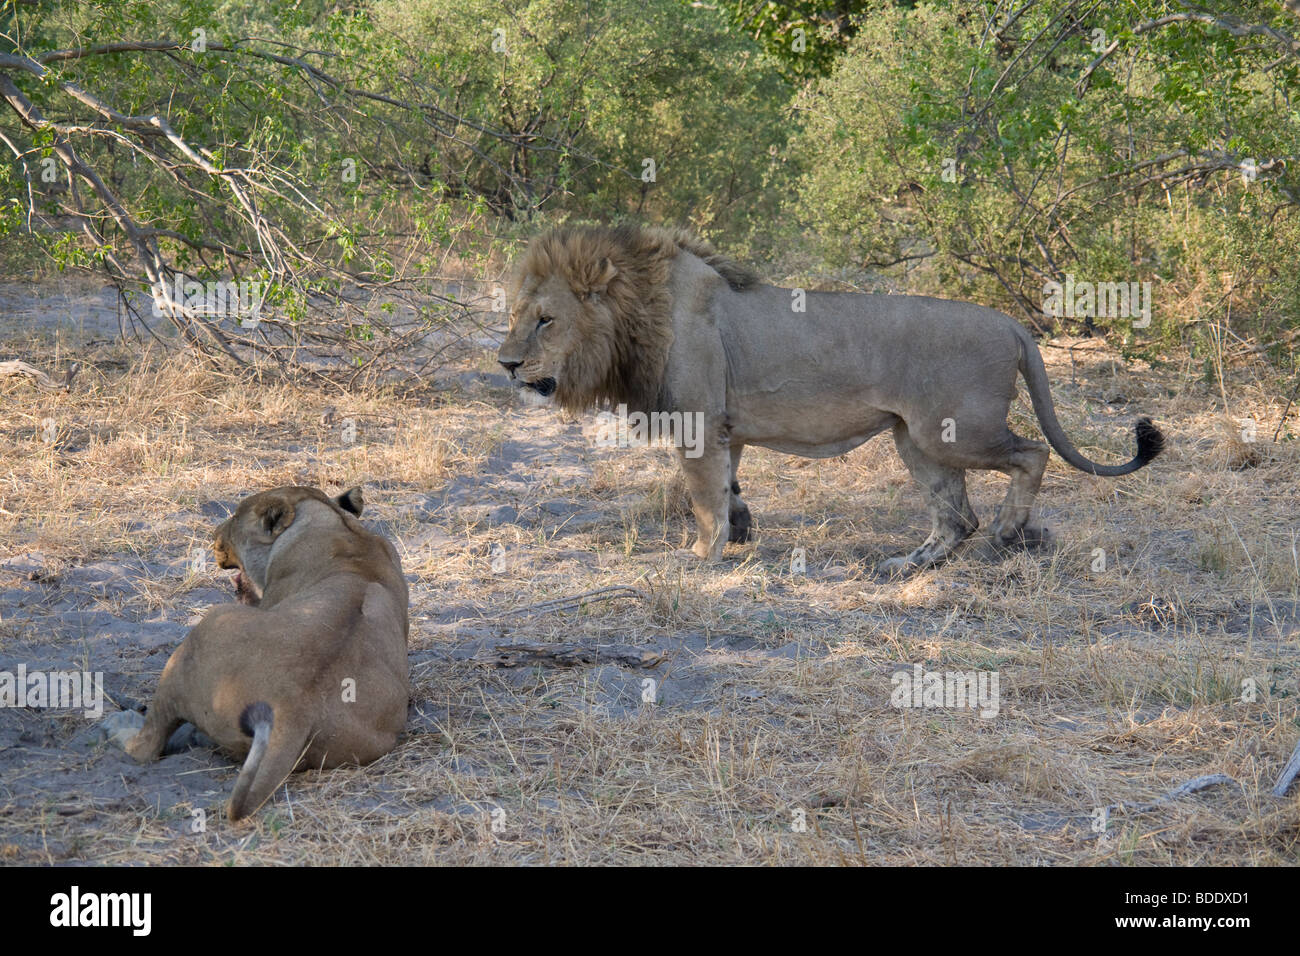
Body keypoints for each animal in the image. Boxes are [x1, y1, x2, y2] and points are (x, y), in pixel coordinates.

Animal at [109, 489, 408, 816]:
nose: (214, 535)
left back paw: (119, 724)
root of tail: (293, 708)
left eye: (235, 518)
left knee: (147, 745)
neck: (342, 527)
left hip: (206, 629)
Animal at [491, 226, 1164, 574]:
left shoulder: (699, 424)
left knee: (1029, 456)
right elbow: (728, 487)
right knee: (955, 516)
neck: (636, 319)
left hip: (952, 429)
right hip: (915, 439)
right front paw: (740, 532)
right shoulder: (727, 429)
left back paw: (1008, 531)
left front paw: (702, 556)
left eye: (547, 320)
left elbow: (703, 498)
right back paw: (908, 565)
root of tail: (1013, 325)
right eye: (516, 315)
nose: (507, 364)